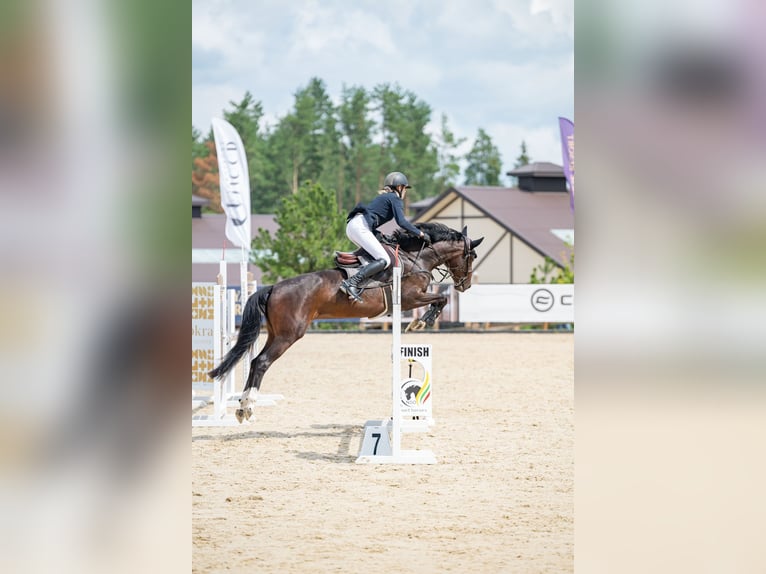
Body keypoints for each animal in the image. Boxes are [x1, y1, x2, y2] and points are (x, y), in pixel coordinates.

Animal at [208, 222, 484, 423]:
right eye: (472, 256)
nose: (466, 285)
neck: (415, 258)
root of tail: (274, 287)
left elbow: (439, 299)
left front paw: (421, 322)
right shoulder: (409, 298)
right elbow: (440, 299)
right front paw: (421, 322)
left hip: (276, 333)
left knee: (255, 361)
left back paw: (243, 406)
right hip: (289, 335)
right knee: (263, 362)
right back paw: (247, 406)